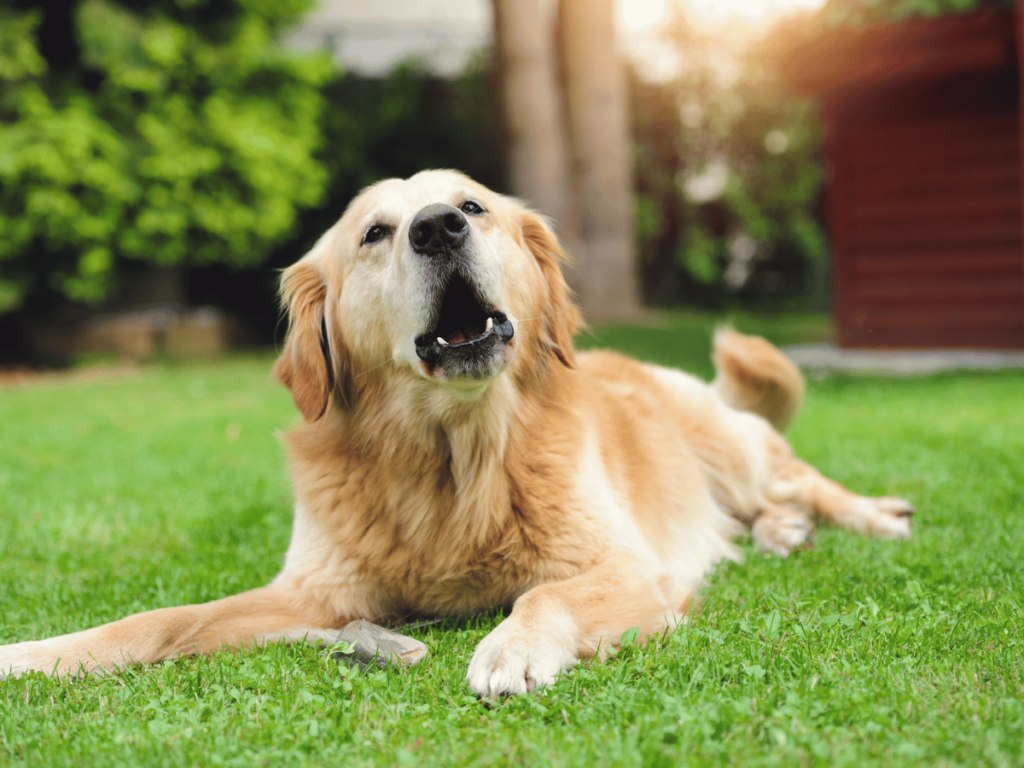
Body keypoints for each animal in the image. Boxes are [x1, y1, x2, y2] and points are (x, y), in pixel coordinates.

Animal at [0, 169, 913, 696]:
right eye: (373, 232)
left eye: (471, 205)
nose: (437, 226)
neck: (449, 456)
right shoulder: (311, 594)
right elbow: (158, 621)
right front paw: (37, 654)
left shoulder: (627, 566)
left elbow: (546, 593)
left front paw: (513, 649)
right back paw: (783, 533)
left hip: (733, 446)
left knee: (802, 479)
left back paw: (866, 515)